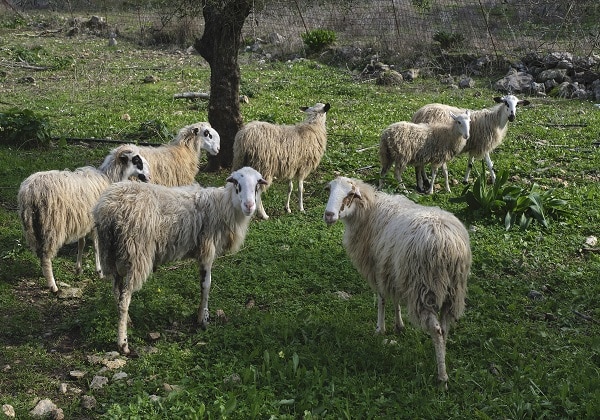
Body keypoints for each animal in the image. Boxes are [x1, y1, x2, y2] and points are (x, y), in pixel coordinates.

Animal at [18, 144, 152, 292]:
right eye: (136, 160)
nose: (148, 176)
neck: (109, 178)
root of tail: (30, 192)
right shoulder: (97, 220)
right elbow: (96, 245)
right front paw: (99, 271)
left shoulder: (84, 220)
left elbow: (81, 243)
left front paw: (78, 269)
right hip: (51, 225)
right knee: (46, 256)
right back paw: (53, 285)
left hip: (32, 226)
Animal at [92, 166, 268, 352]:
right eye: (237, 185)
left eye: (257, 185)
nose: (249, 206)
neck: (222, 206)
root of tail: (109, 209)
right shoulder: (207, 250)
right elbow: (206, 285)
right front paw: (203, 318)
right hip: (136, 254)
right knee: (125, 298)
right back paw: (123, 343)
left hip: (112, 255)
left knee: (117, 292)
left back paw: (128, 321)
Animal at [324, 176, 474, 386]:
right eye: (329, 190)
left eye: (350, 194)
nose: (328, 215)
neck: (368, 212)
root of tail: (449, 245)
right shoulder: (392, 270)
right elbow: (394, 298)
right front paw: (398, 325)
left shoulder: (377, 267)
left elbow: (381, 298)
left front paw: (380, 329)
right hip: (453, 291)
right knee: (444, 327)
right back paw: (441, 357)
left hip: (424, 288)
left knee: (436, 329)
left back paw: (441, 376)